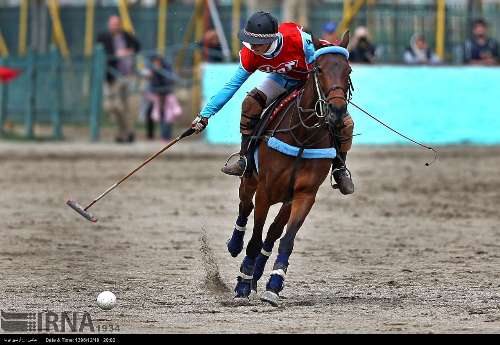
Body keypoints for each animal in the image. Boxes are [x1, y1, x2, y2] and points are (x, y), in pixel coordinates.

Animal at [225, 32, 354, 306]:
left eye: (348, 70)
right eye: (318, 69)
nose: (337, 111)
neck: (302, 136)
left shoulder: (304, 195)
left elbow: (285, 239)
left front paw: (273, 284)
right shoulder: (265, 190)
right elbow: (255, 238)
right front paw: (242, 283)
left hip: (286, 198)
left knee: (273, 232)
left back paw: (258, 275)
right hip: (251, 180)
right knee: (245, 208)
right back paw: (235, 247)